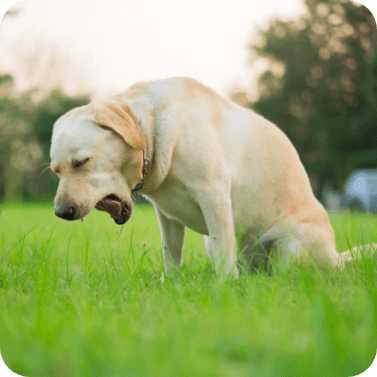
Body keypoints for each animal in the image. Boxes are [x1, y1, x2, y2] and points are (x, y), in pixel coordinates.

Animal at [49, 77, 374, 276]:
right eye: (56, 171)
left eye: (82, 162)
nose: (62, 211)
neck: (150, 130)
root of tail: (337, 258)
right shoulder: (166, 216)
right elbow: (171, 255)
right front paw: (172, 286)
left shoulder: (214, 195)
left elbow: (222, 255)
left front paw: (224, 289)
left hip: (292, 247)